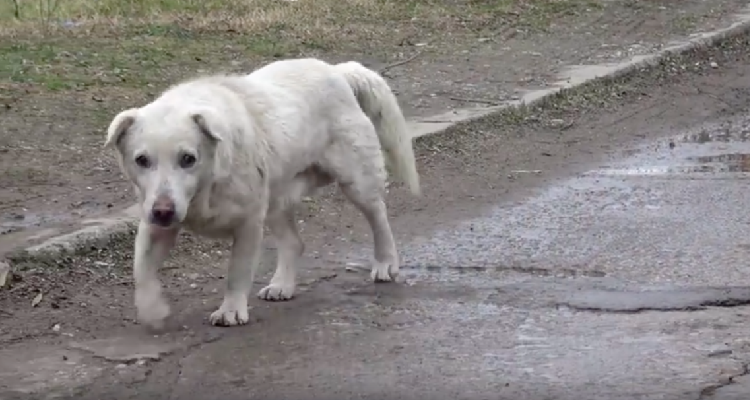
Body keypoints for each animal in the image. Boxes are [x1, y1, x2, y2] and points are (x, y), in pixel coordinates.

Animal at [104, 58, 424, 328]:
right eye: (141, 160)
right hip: (277, 201)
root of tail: (338, 71)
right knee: (294, 243)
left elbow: (237, 272)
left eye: (188, 158)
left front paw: (231, 311)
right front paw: (152, 309)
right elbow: (141, 270)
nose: (164, 211)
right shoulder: (154, 223)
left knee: (379, 217)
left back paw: (385, 263)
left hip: (357, 183)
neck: (207, 185)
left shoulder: (248, 224)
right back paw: (283, 285)